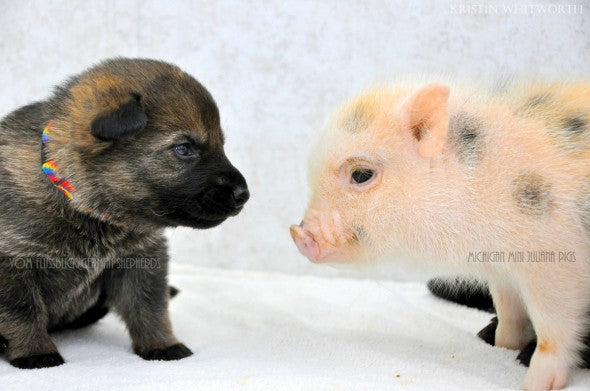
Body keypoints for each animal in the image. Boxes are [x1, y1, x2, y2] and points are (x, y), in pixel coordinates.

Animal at [0, 56, 250, 370]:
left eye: (221, 146)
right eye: (184, 148)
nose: (244, 194)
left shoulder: (140, 259)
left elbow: (149, 307)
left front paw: (162, 344)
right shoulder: (13, 265)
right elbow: (23, 312)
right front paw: (36, 352)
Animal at [292, 80, 590, 391]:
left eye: (361, 174)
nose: (298, 234)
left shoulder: (556, 265)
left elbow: (553, 327)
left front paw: (532, 384)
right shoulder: (503, 272)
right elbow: (509, 313)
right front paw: (501, 347)